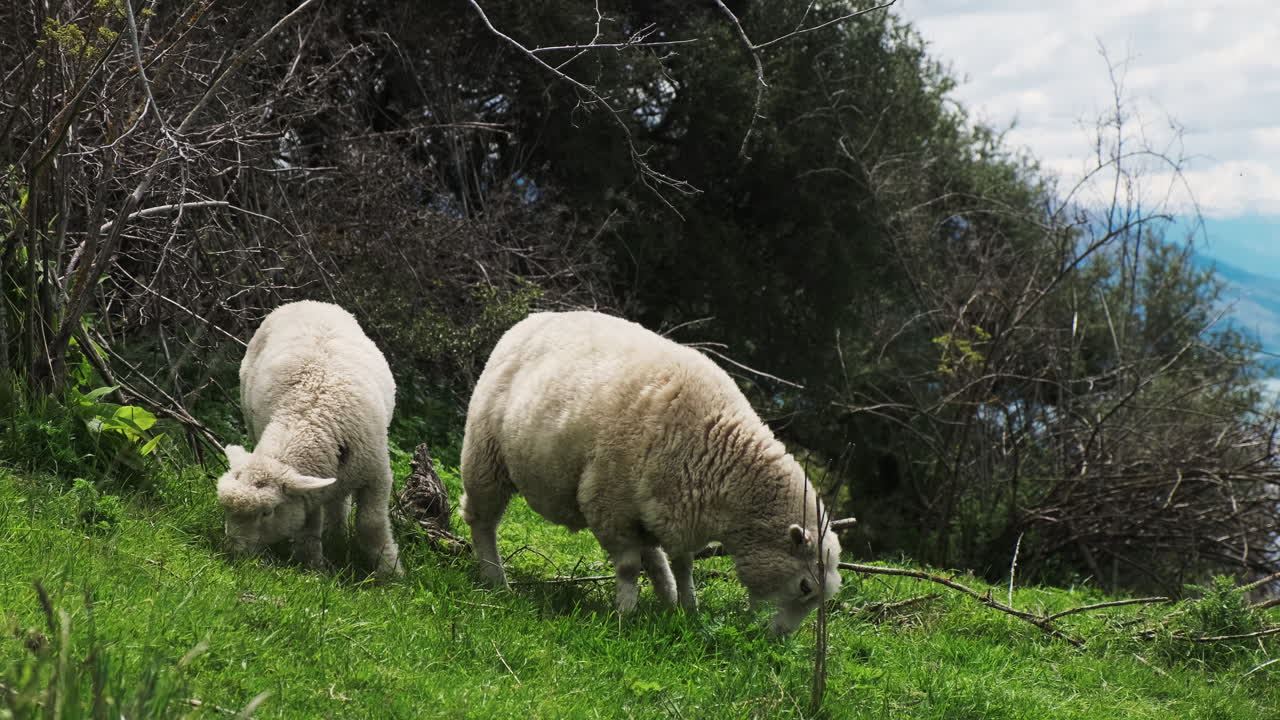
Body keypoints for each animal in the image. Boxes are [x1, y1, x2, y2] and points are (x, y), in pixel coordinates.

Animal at [216, 300, 402, 578]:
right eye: (226, 509)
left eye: (267, 512)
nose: (233, 555)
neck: (310, 415)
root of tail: (305, 302)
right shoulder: (310, 482)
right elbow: (309, 524)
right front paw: (312, 567)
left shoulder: (378, 474)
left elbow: (372, 524)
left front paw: (389, 573)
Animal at [460, 311, 842, 634]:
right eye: (805, 586)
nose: (781, 637)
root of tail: (528, 320)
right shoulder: (608, 505)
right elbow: (629, 567)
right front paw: (625, 615)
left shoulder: (679, 512)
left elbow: (684, 565)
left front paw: (687, 609)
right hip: (485, 457)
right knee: (481, 521)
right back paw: (496, 580)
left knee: (654, 555)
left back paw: (667, 599)